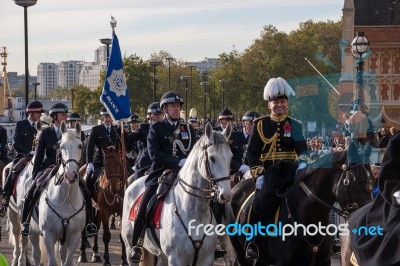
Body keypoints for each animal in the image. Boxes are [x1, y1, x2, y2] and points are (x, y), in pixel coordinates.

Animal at [122, 123, 234, 266]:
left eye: (230, 157)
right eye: (212, 158)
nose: (226, 195)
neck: (194, 213)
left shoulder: (206, 259)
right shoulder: (176, 259)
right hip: (129, 247)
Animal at [230, 143, 374, 266]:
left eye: (371, 182)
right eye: (353, 180)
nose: (366, 223)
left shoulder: (323, 261)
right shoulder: (283, 263)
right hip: (241, 252)